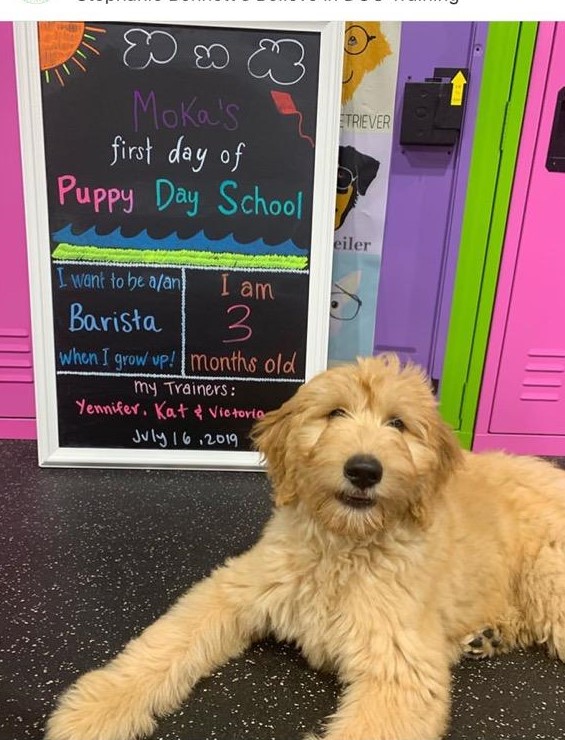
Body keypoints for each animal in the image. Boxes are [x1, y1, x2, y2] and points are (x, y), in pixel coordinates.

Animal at [47, 356, 564, 740]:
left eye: (398, 424)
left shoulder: (397, 666)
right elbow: (166, 642)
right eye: (335, 413)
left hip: (548, 581)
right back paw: (486, 636)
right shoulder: (234, 588)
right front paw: (95, 709)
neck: (341, 546)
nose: (363, 469)